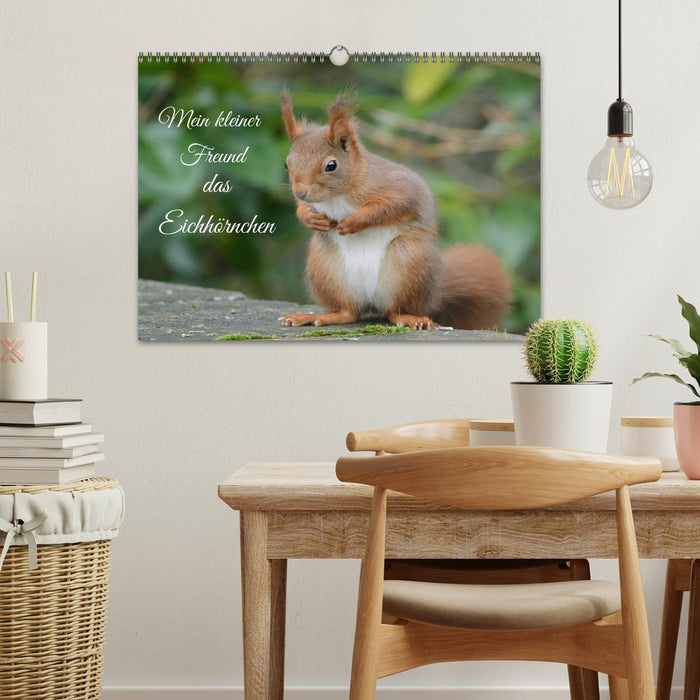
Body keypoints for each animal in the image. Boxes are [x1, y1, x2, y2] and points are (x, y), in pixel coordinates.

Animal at [280, 90, 512, 331]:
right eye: (287, 164)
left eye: (331, 165)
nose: (300, 192)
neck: (337, 196)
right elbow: (304, 209)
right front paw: (309, 217)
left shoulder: (397, 187)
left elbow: (393, 205)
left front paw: (354, 221)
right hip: (326, 268)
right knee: (349, 312)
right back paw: (316, 317)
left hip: (408, 262)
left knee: (395, 312)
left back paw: (412, 318)